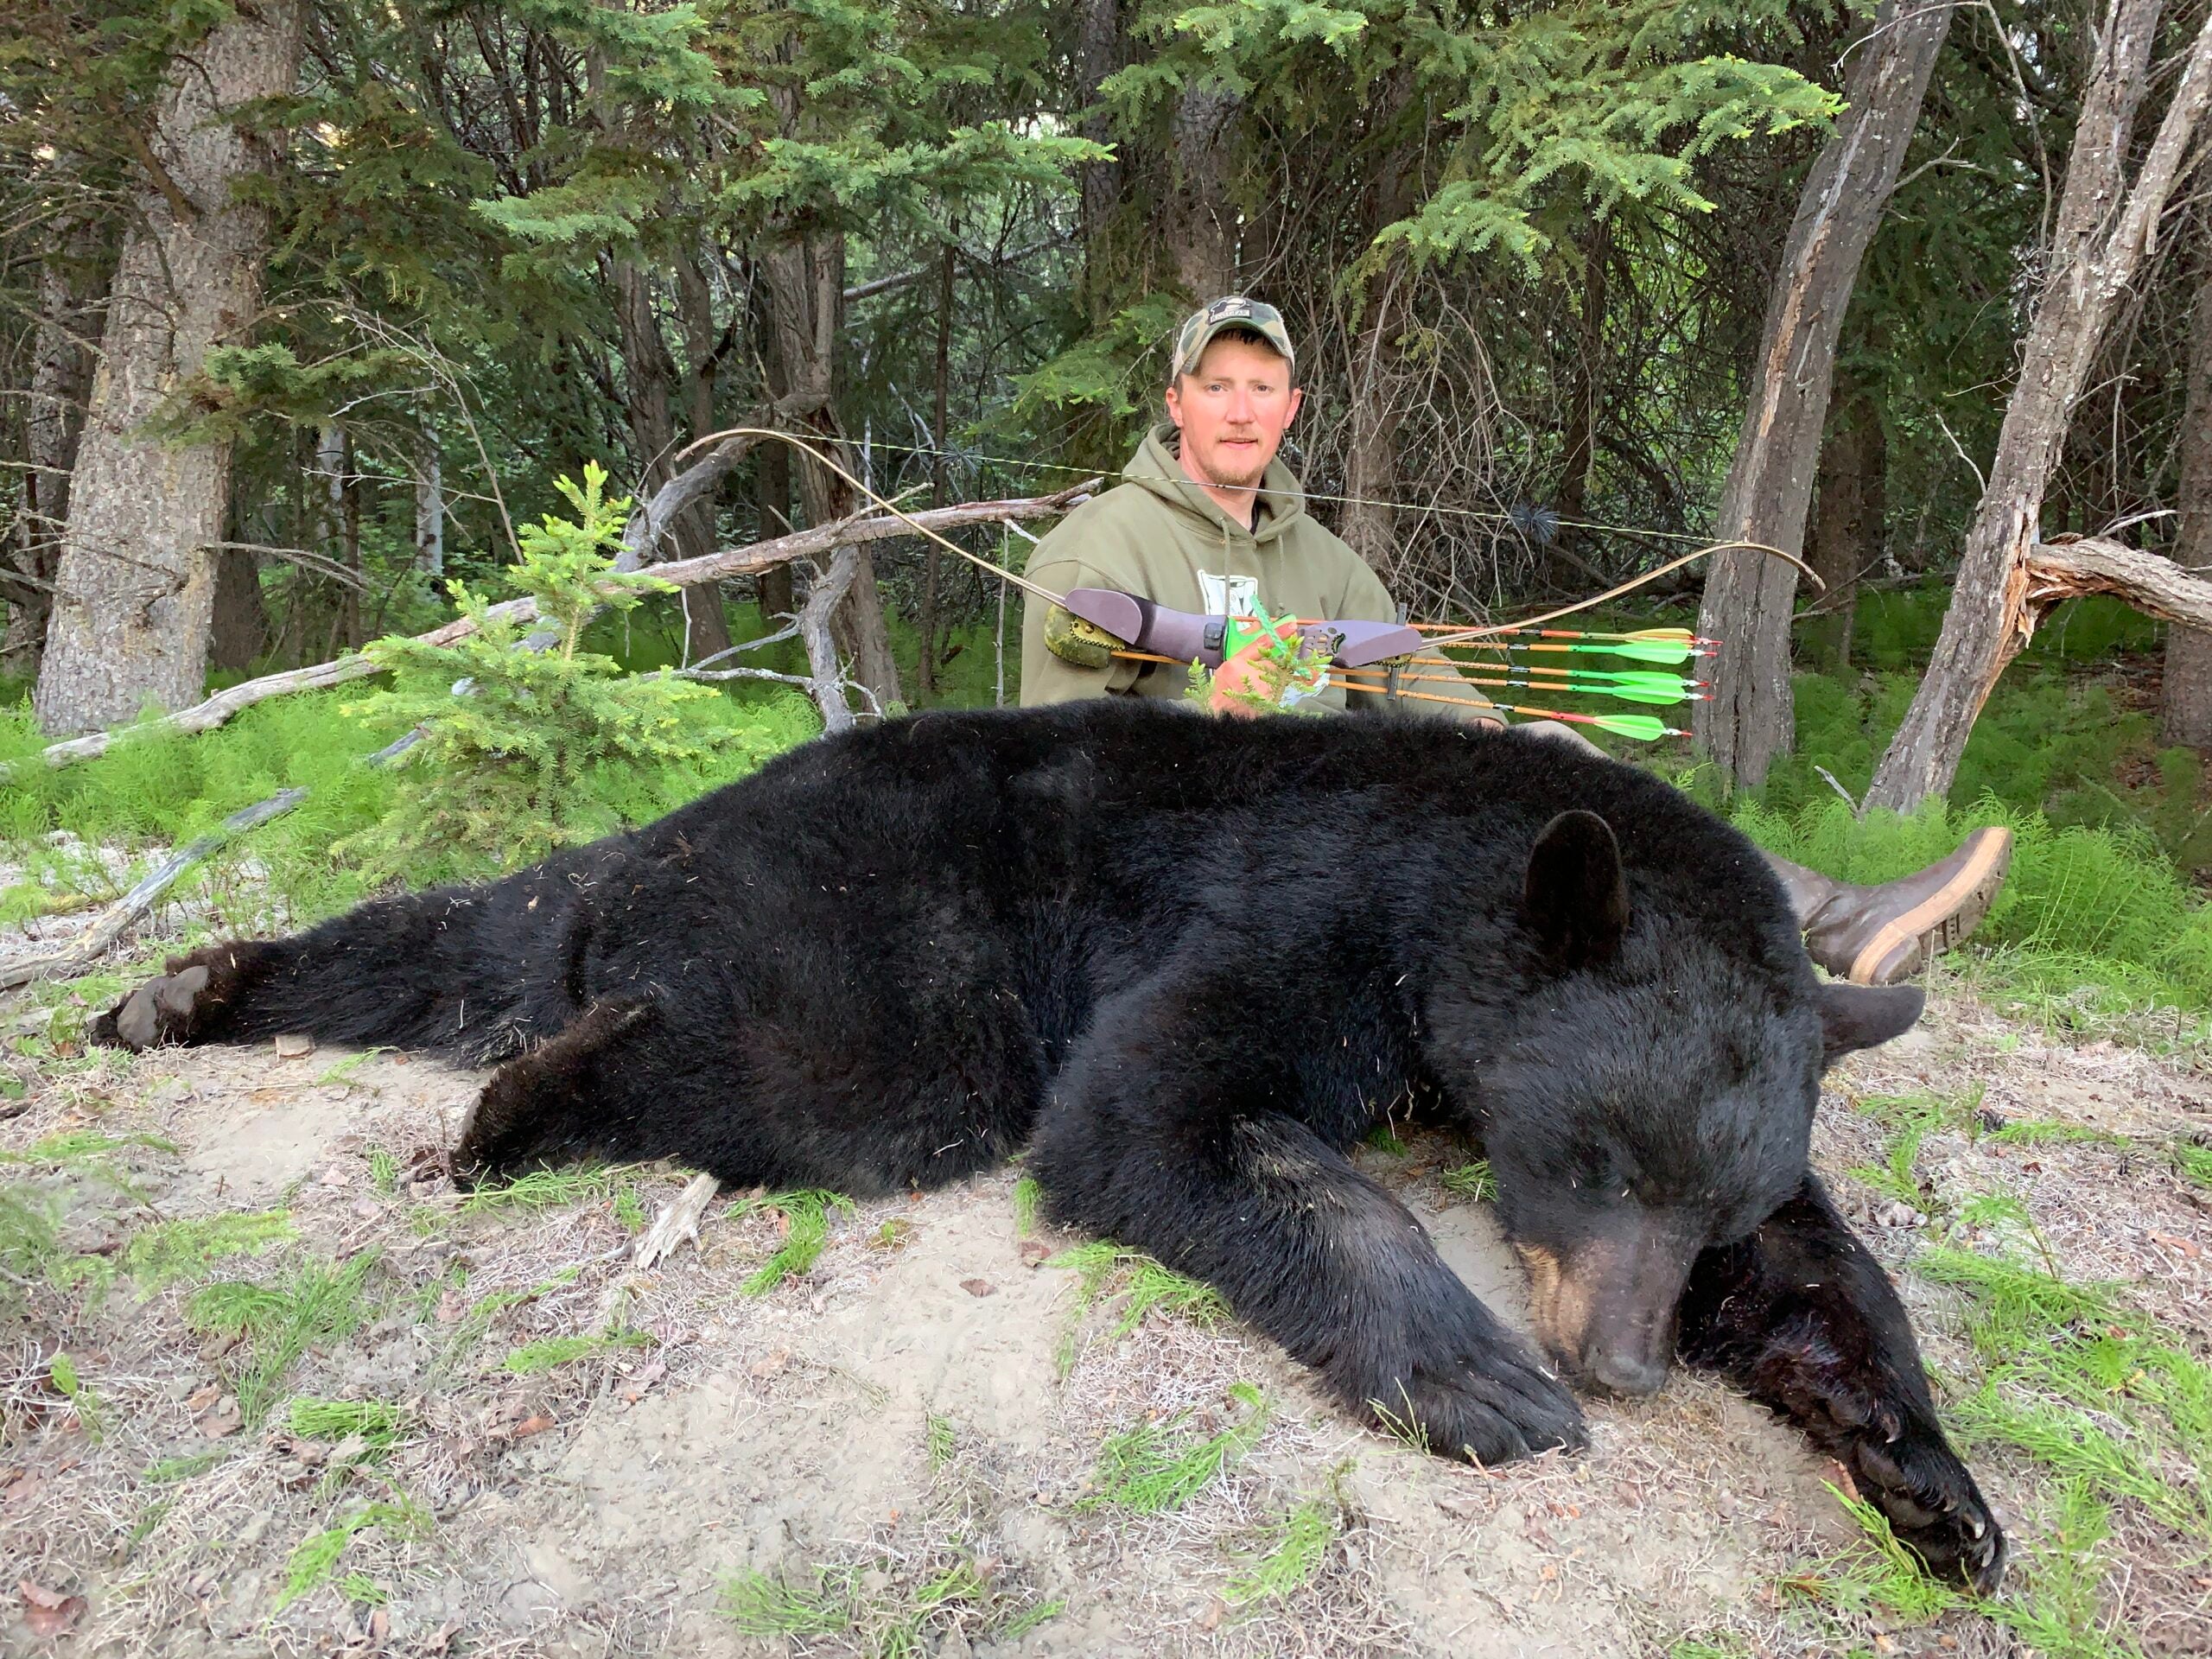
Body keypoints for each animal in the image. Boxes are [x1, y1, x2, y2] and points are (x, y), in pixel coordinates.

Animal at [99, 694, 2008, 1592]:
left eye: (1706, 1202)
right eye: (1598, 1158)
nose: (1620, 1364)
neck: (1441, 891)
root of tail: (670, 852)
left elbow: (1827, 1273)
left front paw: (1930, 1484)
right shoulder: (1293, 923)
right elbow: (1158, 1117)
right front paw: (1478, 1384)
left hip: (625, 898)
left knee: (451, 940)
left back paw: (181, 990)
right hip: (897, 952)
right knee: (791, 1067)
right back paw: (510, 1104)